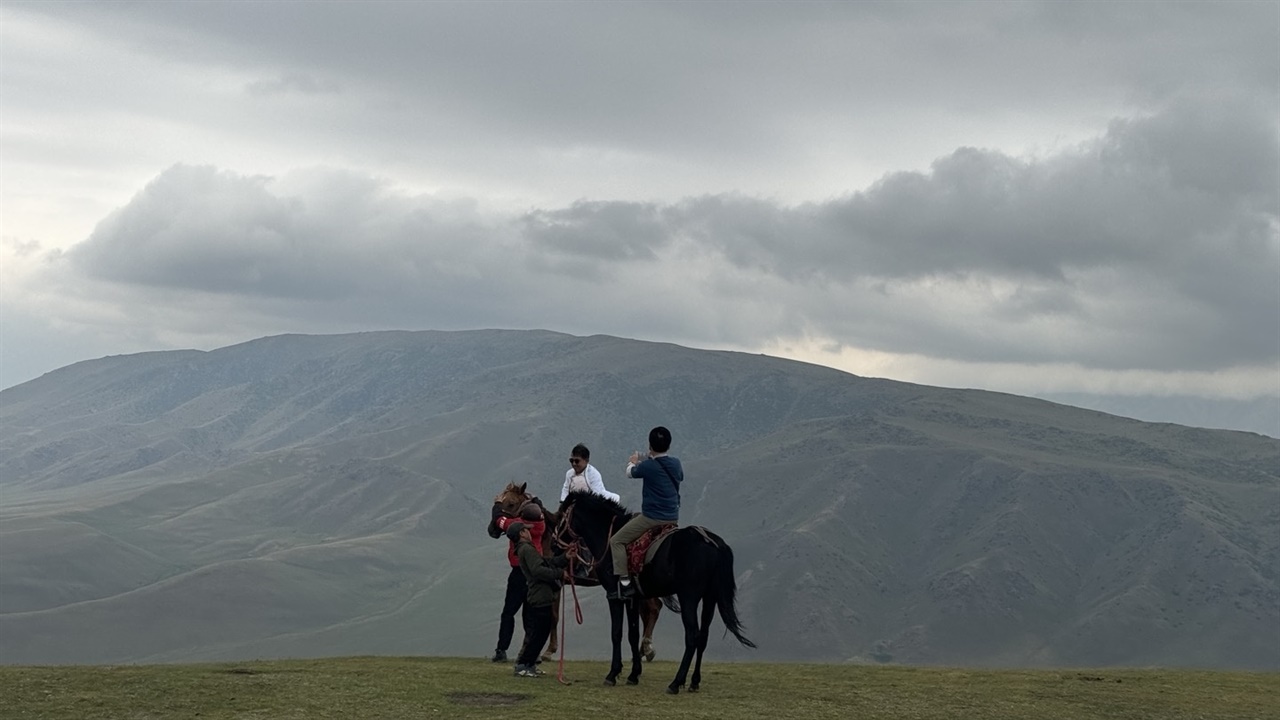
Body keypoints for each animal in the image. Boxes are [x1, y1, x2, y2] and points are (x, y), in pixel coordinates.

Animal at [488, 479, 665, 661]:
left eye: (511, 503)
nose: (492, 529)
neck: (545, 536)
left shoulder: (555, 583)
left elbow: (553, 616)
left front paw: (548, 651)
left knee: (654, 607)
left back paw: (647, 649)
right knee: (647, 610)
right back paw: (642, 650)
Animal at [552, 486, 752, 691]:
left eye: (560, 517)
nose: (553, 546)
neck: (608, 536)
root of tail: (713, 542)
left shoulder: (614, 595)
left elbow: (616, 633)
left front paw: (613, 673)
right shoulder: (632, 598)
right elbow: (632, 634)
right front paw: (633, 674)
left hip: (689, 597)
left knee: (692, 636)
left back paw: (676, 682)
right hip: (710, 598)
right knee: (703, 636)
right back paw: (694, 682)